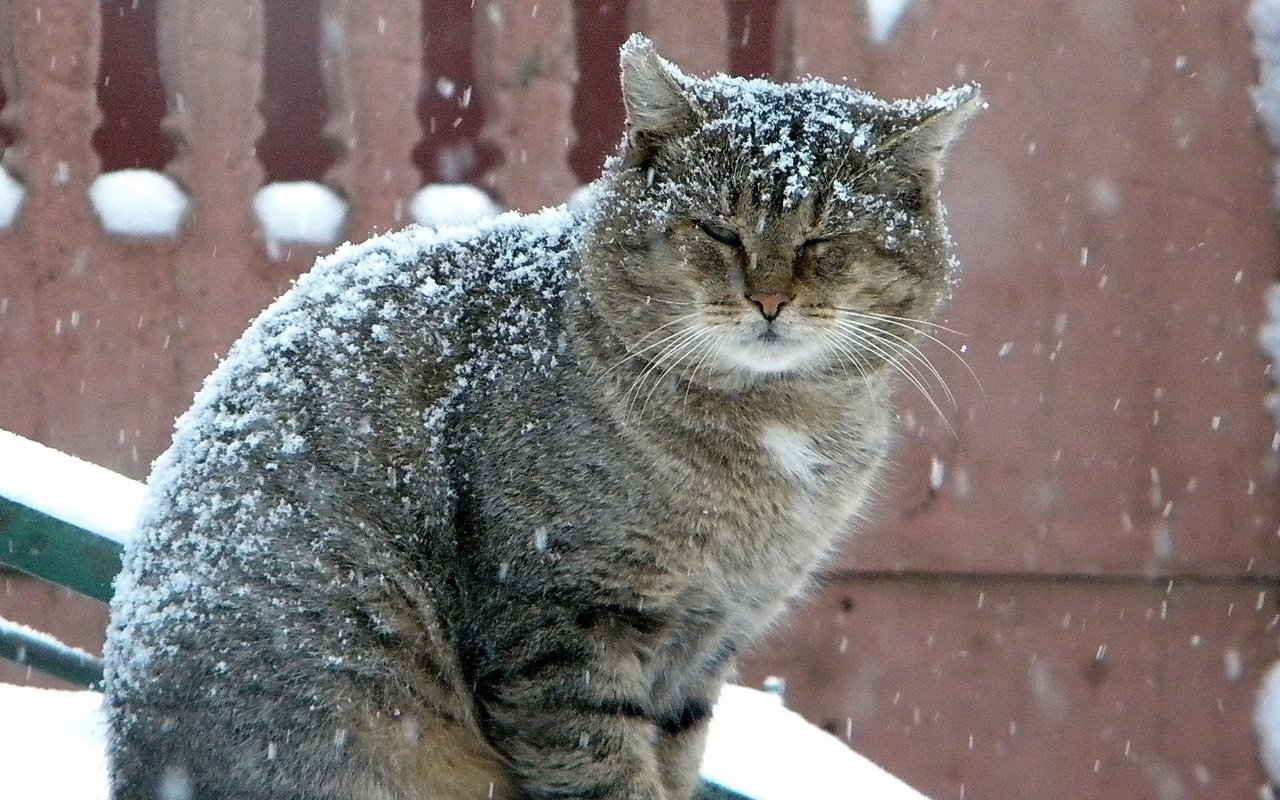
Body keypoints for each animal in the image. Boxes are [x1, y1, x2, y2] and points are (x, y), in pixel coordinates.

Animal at [102, 32, 977, 798]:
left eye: (828, 238)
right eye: (718, 229)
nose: (769, 299)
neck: (770, 431)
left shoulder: (707, 646)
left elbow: (676, 761)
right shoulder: (565, 627)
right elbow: (606, 772)